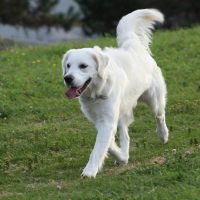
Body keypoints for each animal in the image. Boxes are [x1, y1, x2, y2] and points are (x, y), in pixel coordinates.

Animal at [61, 8, 170, 177]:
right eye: (68, 65)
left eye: (83, 66)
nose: (68, 78)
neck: (96, 93)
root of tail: (133, 45)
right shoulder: (100, 120)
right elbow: (108, 143)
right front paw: (119, 156)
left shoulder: (107, 120)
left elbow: (99, 148)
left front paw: (89, 171)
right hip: (123, 111)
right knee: (126, 135)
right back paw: (123, 157)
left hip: (154, 100)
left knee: (160, 116)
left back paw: (163, 135)